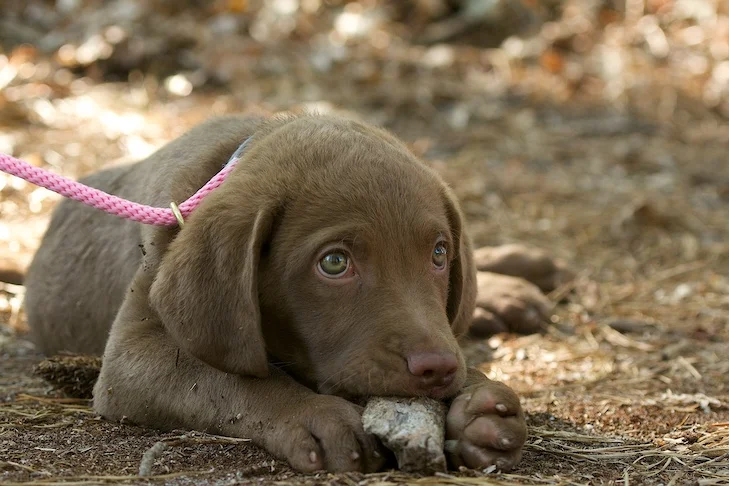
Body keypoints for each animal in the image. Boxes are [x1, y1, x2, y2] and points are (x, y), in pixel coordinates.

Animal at [25, 113, 528, 470]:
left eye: (439, 254)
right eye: (334, 263)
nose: (436, 366)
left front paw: (480, 408)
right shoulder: (128, 359)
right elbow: (231, 379)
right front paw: (314, 415)